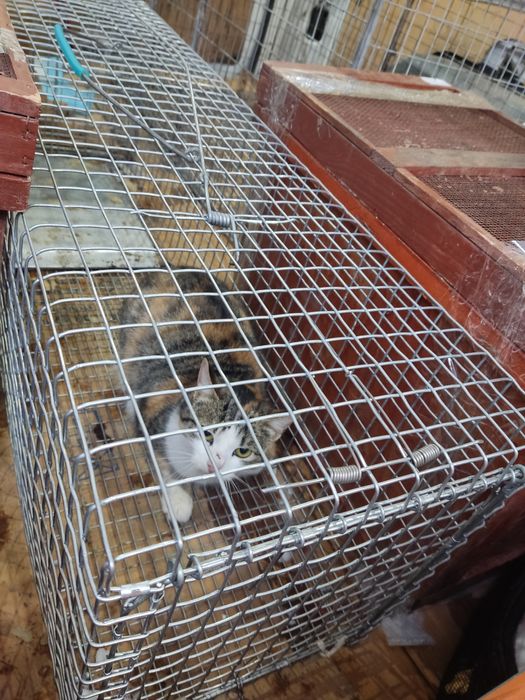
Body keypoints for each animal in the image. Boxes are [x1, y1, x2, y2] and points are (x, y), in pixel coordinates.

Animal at [117, 268, 291, 523]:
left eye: (243, 451)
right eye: (206, 434)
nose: (214, 464)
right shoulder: (152, 416)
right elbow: (163, 463)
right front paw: (180, 500)